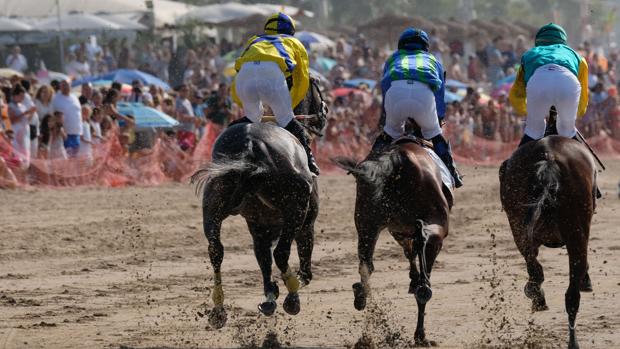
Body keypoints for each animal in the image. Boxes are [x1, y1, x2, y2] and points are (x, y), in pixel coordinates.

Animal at [191, 77, 326, 328]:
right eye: (317, 88)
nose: (324, 114)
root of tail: (251, 146)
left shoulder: (259, 225)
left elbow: (263, 258)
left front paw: (270, 295)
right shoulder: (306, 221)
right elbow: (303, 265)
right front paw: (285, 289)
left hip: (213, 206)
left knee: (216, 250)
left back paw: (218, 309)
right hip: (296, 209)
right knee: (282, 253)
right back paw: (292, 297)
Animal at [334, 139, 450, 346]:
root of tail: (395, 160)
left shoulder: (398, 231)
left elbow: (409, 253)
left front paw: (412, 279)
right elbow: (416, 255)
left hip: (367, 223)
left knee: (366, 265)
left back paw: (361, 298)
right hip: (436, 226)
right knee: (423, 245)